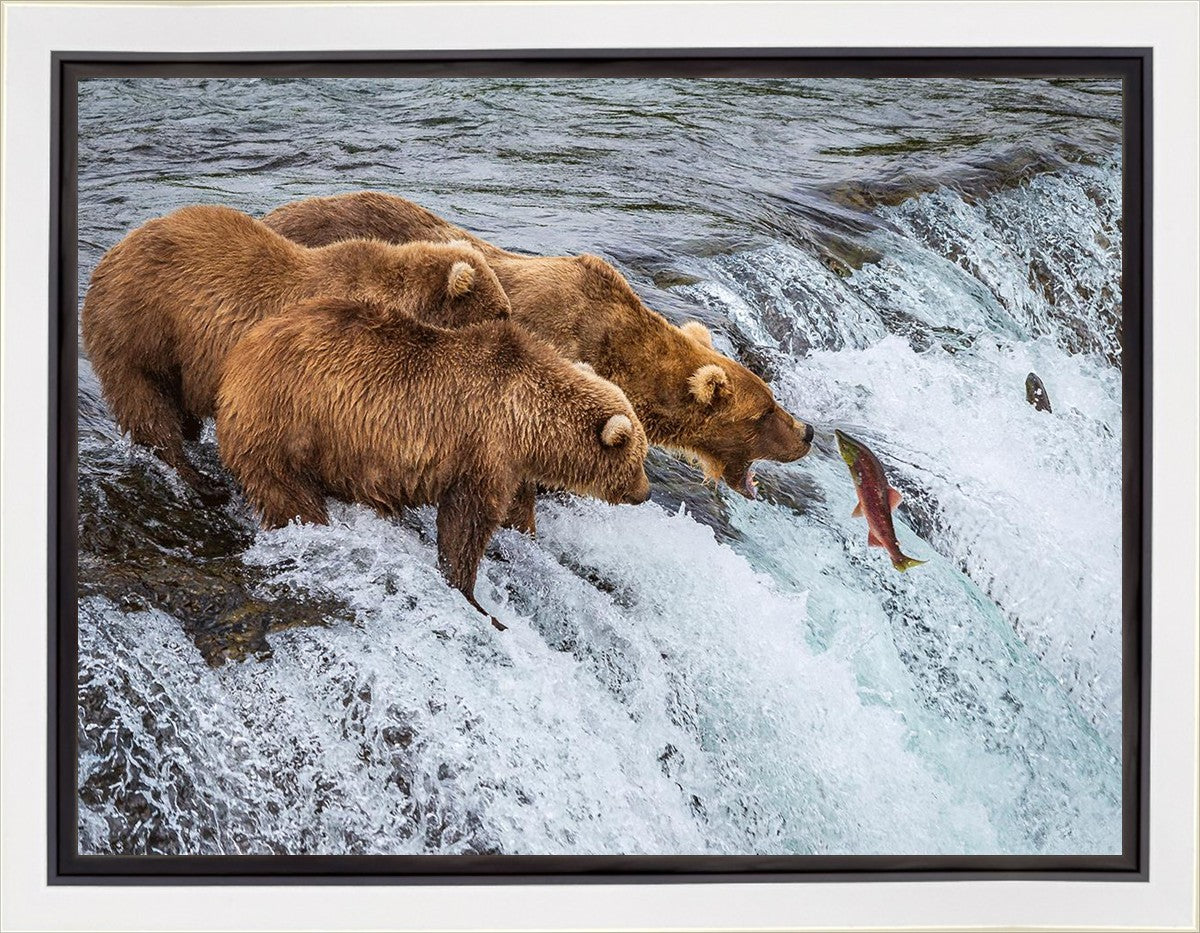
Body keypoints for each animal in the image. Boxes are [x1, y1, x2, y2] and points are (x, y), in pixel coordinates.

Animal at [81, 204, 511, 501]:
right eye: (501, 312)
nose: (513, 331)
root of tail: (110, 255)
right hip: (140, 329)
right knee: (147, 406)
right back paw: (199, 480)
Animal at [215, 296, 651, 629]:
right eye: (638, 459)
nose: (645, 493)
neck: (527, 420)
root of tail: (239, 356)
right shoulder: (482, 447)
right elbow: (467, 522)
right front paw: (475, 598)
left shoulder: (510, 463)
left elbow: (515, 509)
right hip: (287, 424)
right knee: (289, 494)